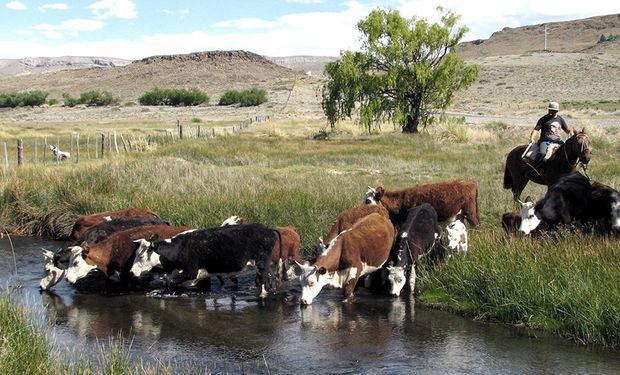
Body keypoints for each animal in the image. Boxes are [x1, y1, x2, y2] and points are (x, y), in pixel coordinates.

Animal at [131, 225, 278, 298]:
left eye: (142, 256)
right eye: (136, 254)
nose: (131, 272)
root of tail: (268, 229)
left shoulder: (191, 271)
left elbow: (171, 283)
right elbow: (169, 284)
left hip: (261, 265)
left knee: (265, 284)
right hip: (265, 266)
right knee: (271, 279)